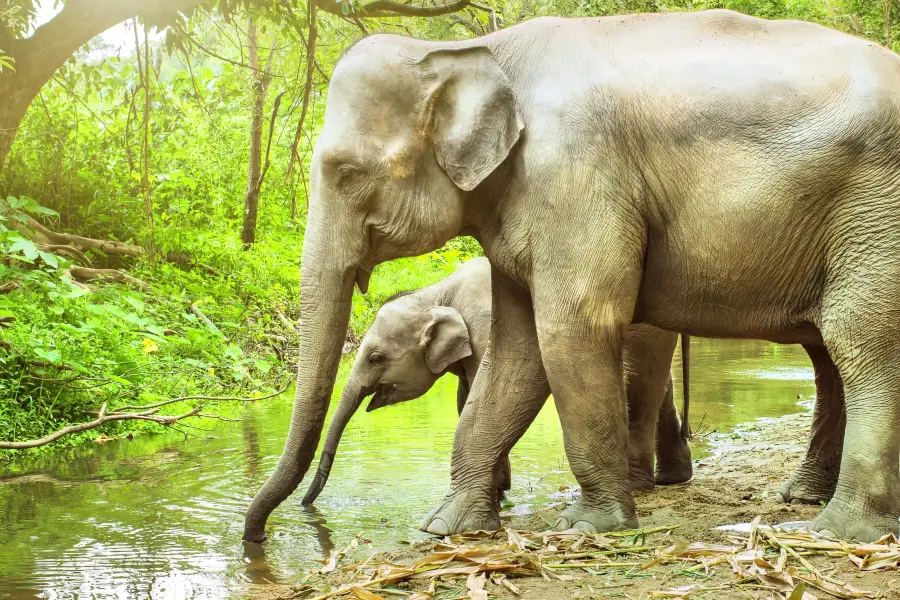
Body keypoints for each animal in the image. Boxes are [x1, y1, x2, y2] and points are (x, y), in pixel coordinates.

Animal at [298, 258, 692, 506]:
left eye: (376, 358)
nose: (306, 503)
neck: (439, 292)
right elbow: (465, 398)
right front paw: (498, 489)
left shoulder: (486, 327)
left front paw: (496, 491)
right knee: (661, 390)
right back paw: (674, 477)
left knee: (640, 390)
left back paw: (639, 484)